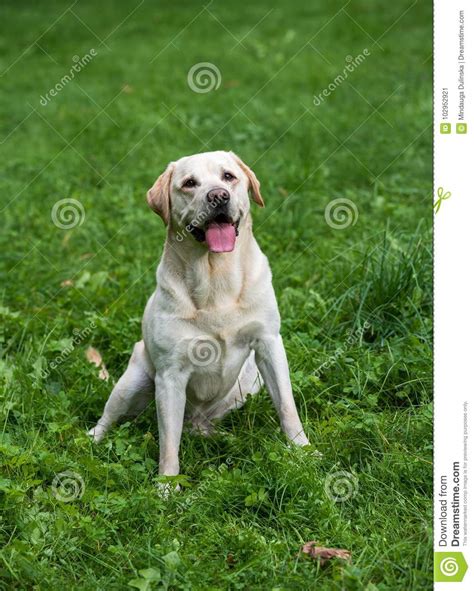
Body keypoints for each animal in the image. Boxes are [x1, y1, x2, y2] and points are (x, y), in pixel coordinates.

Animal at [89, 150, 310, 478]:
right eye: (189, 183)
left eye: (228, 177)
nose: (218, 196)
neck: (216, 275)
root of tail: (197, 421)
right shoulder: (171, 374)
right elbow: (168, 443)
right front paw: (167, 484)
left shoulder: (269, 343)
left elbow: (287, 405)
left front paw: (303, 452)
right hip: (132, 381)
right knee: (109, 417)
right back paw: (89, 440)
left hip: (251, 381)